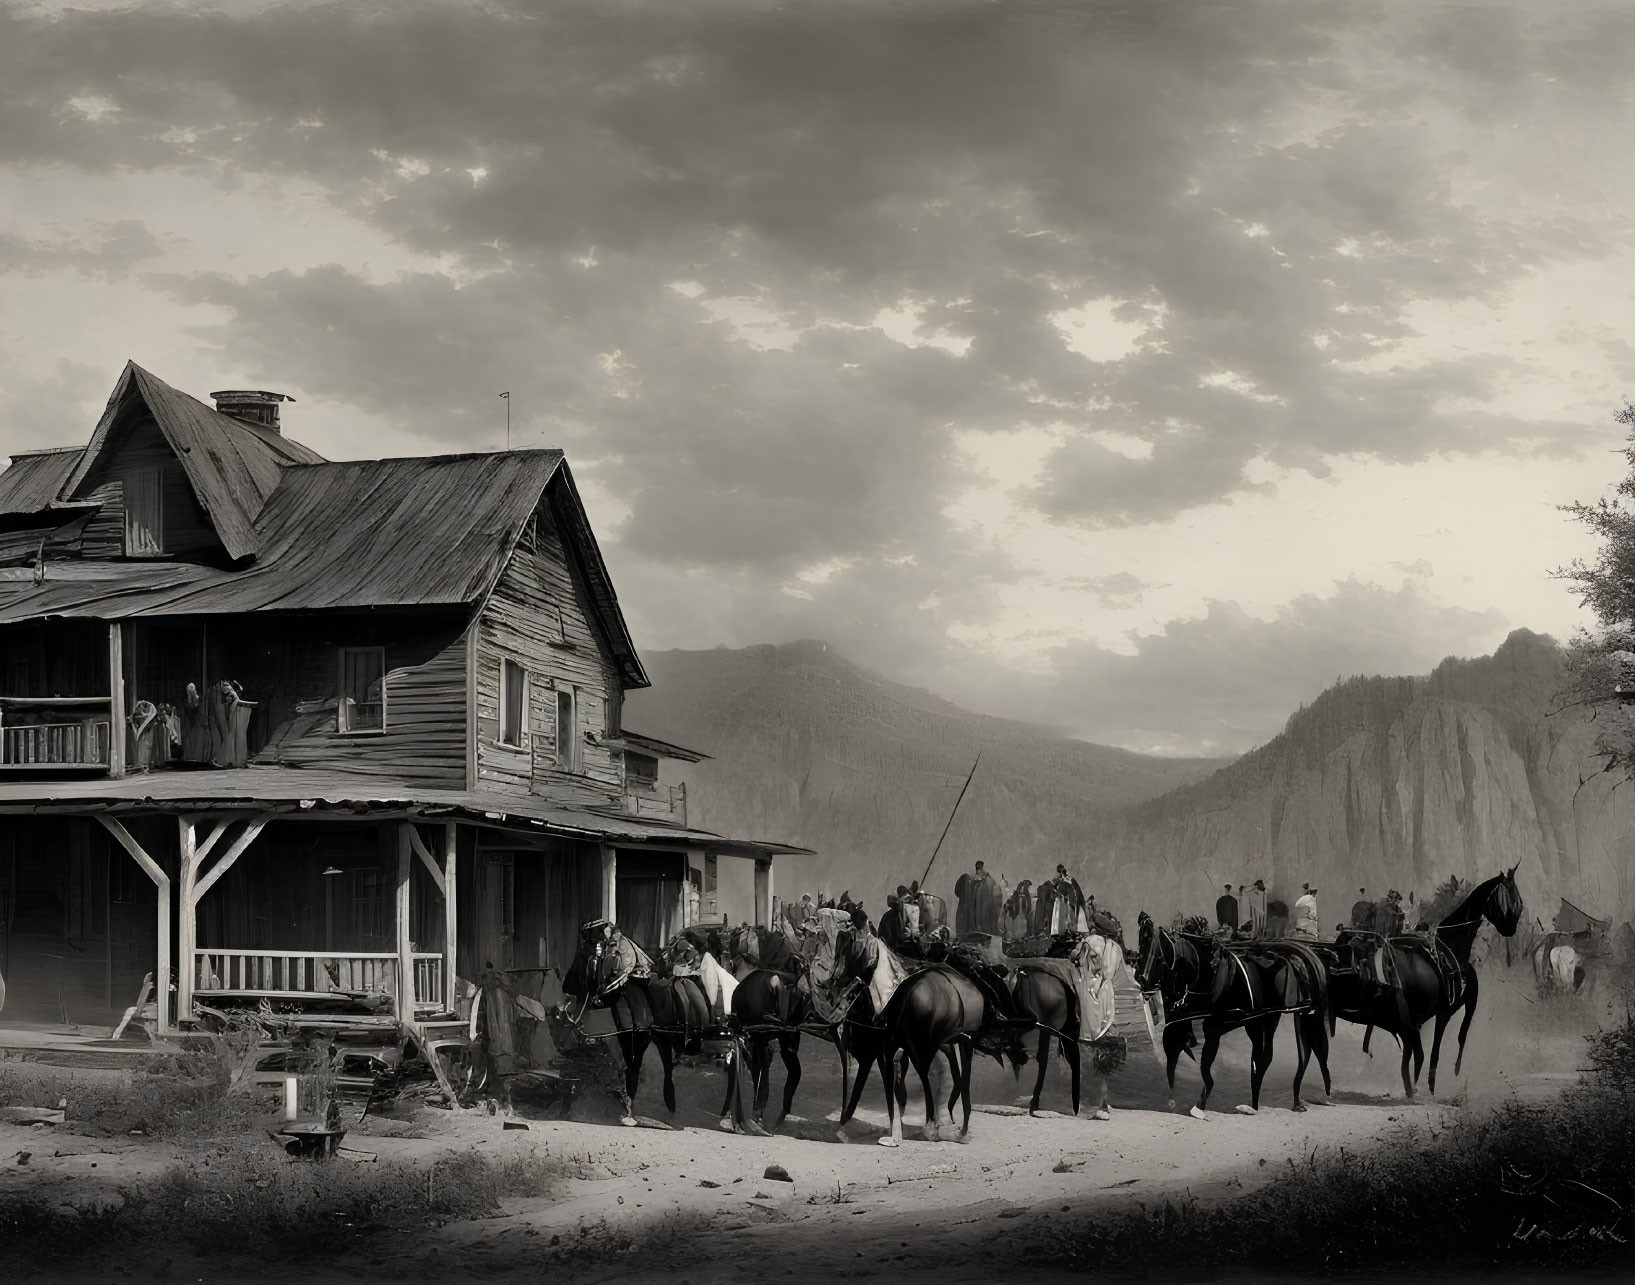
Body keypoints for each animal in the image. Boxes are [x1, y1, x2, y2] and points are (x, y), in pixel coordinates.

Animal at [1137, 908, 1327, 1111]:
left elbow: (1205, 1063)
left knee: (1267, 1057)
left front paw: (1200, 1104)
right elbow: (1174, 1055)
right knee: (1262, 1057)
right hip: (1258, 1022)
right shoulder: (1180, 1024)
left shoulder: (1218, 1025)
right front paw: (1173, 1096)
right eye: (1141, 947)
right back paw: (1256, 1102)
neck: (1207, 976)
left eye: (1155, 950)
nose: (1141, 979)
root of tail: (1288, 959)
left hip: (1268, 1018)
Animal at [1308, 863, 1523, 1092]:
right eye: (1511, 896)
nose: (1512, 927)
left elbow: (1450, 1040)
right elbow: (1436, 1050)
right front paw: (1431, 1084)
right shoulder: (1444, 1011)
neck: (1448, 948)